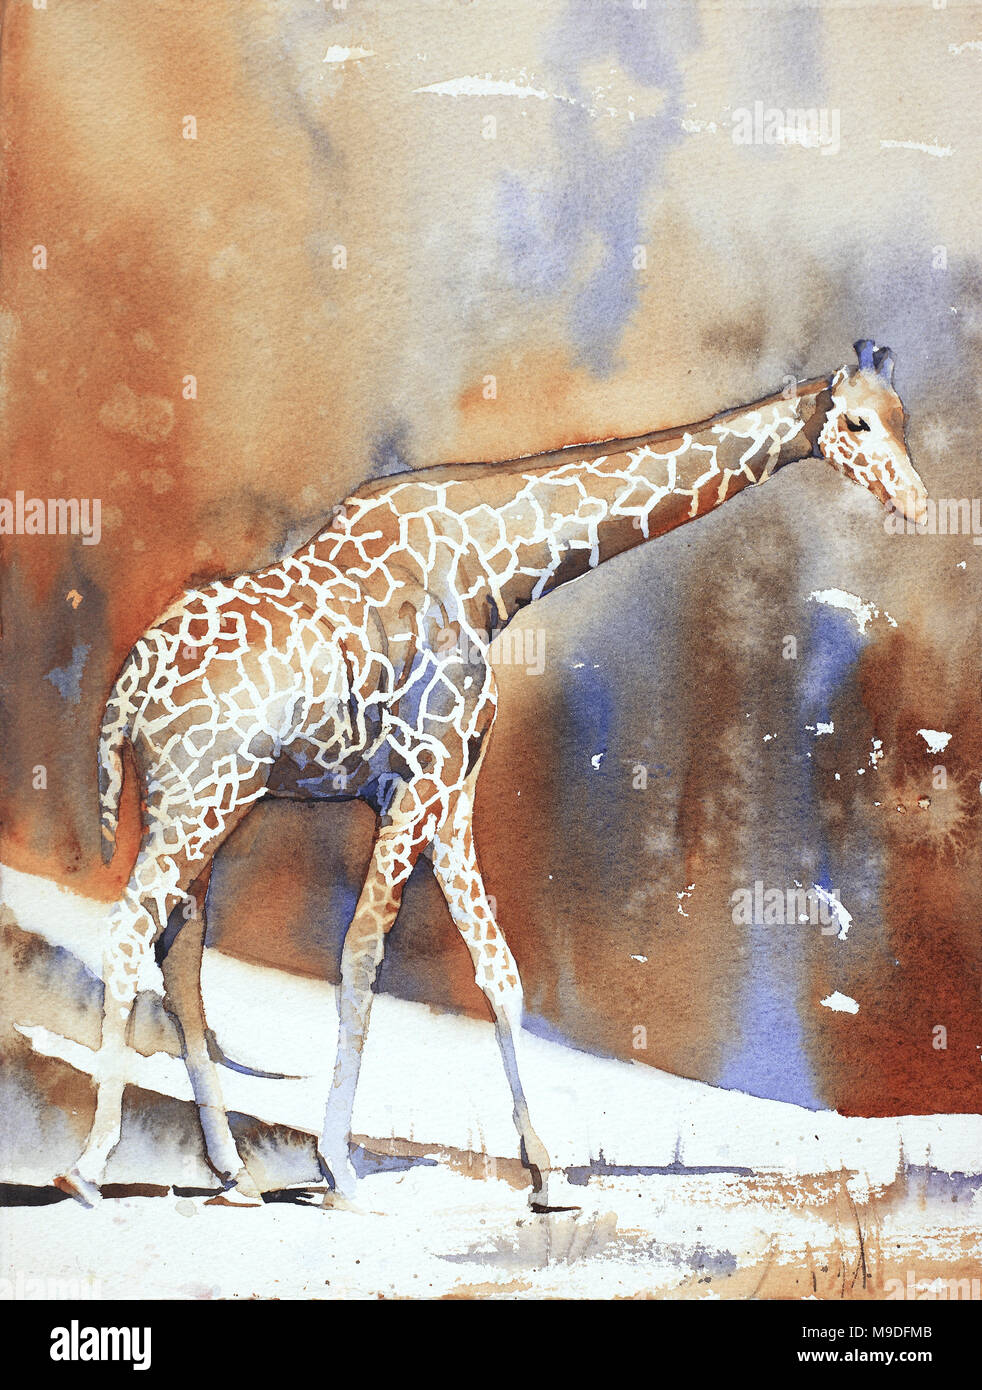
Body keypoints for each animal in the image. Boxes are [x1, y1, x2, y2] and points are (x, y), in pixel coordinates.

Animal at [56, 341, 928, 1209]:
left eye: (903, 416)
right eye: (856, 423)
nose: (918, 504)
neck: (495, 567)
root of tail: (125, 687)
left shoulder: (451, 788)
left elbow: (499, 969)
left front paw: (548, 1171)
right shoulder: (423, 778)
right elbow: (362, 955)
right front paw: (338, 1166)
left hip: (195, 802)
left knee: (179, 947)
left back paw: (231, 1172)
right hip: (203, 796)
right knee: (131, 930)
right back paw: (92, 1165)